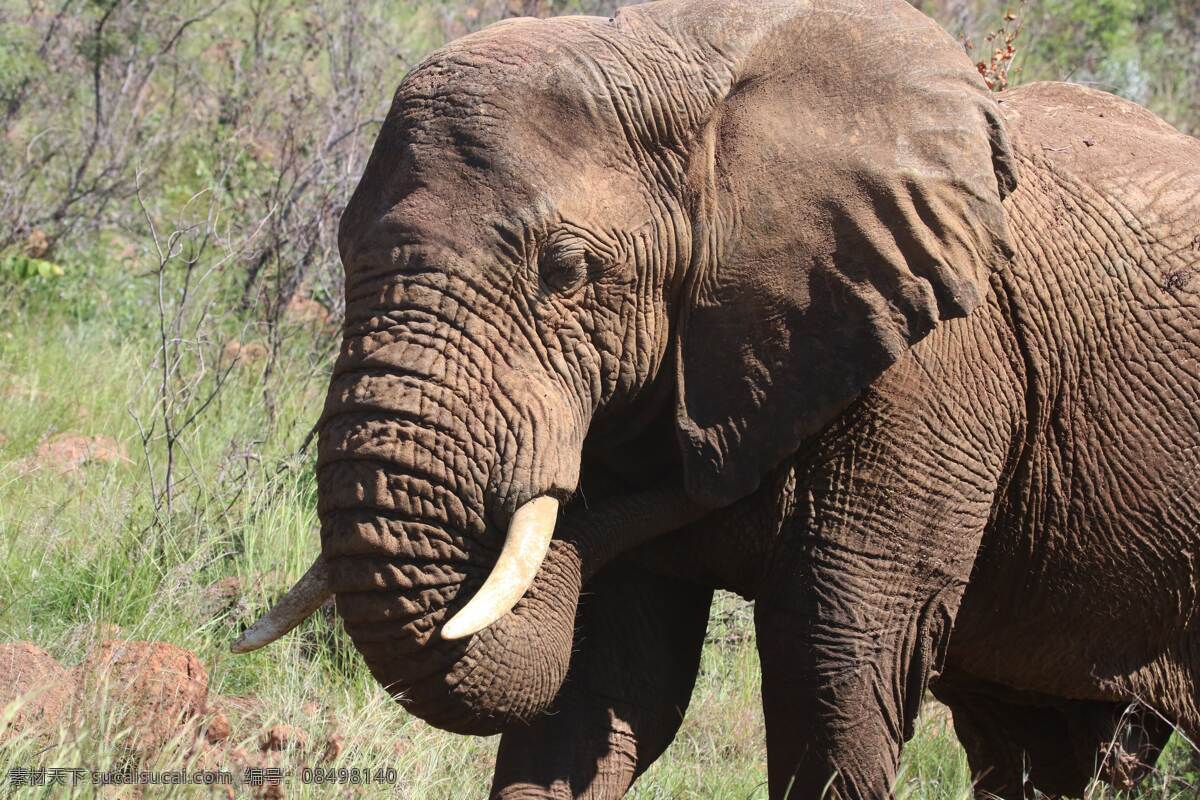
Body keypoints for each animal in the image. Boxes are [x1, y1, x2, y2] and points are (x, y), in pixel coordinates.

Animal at [231, 0, 1200, 797]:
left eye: (568, 272)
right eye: (342, 253)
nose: (711, 472)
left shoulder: (935, 373)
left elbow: (840, 660)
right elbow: (609, 678)